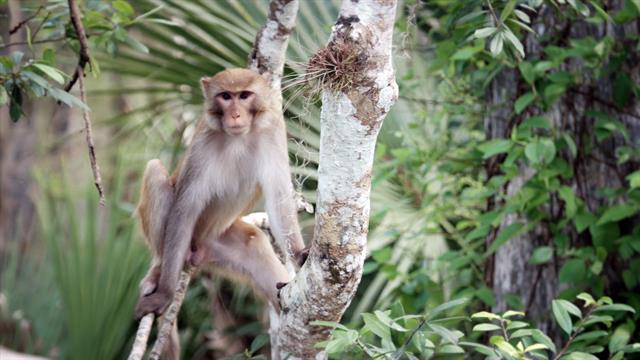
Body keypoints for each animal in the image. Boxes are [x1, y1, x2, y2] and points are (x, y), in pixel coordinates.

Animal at [133, 68, 308, 324]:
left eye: (244, 95)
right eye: (225, 96)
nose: (235, 114)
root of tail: (199, 251)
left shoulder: (273, 131)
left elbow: (279, 199)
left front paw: (299, 254)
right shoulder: (203, 142)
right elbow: (185, 207)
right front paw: (164, 293)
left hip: (219, 243)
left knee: (255, 245)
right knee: (155, 170)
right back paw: (158, 271)